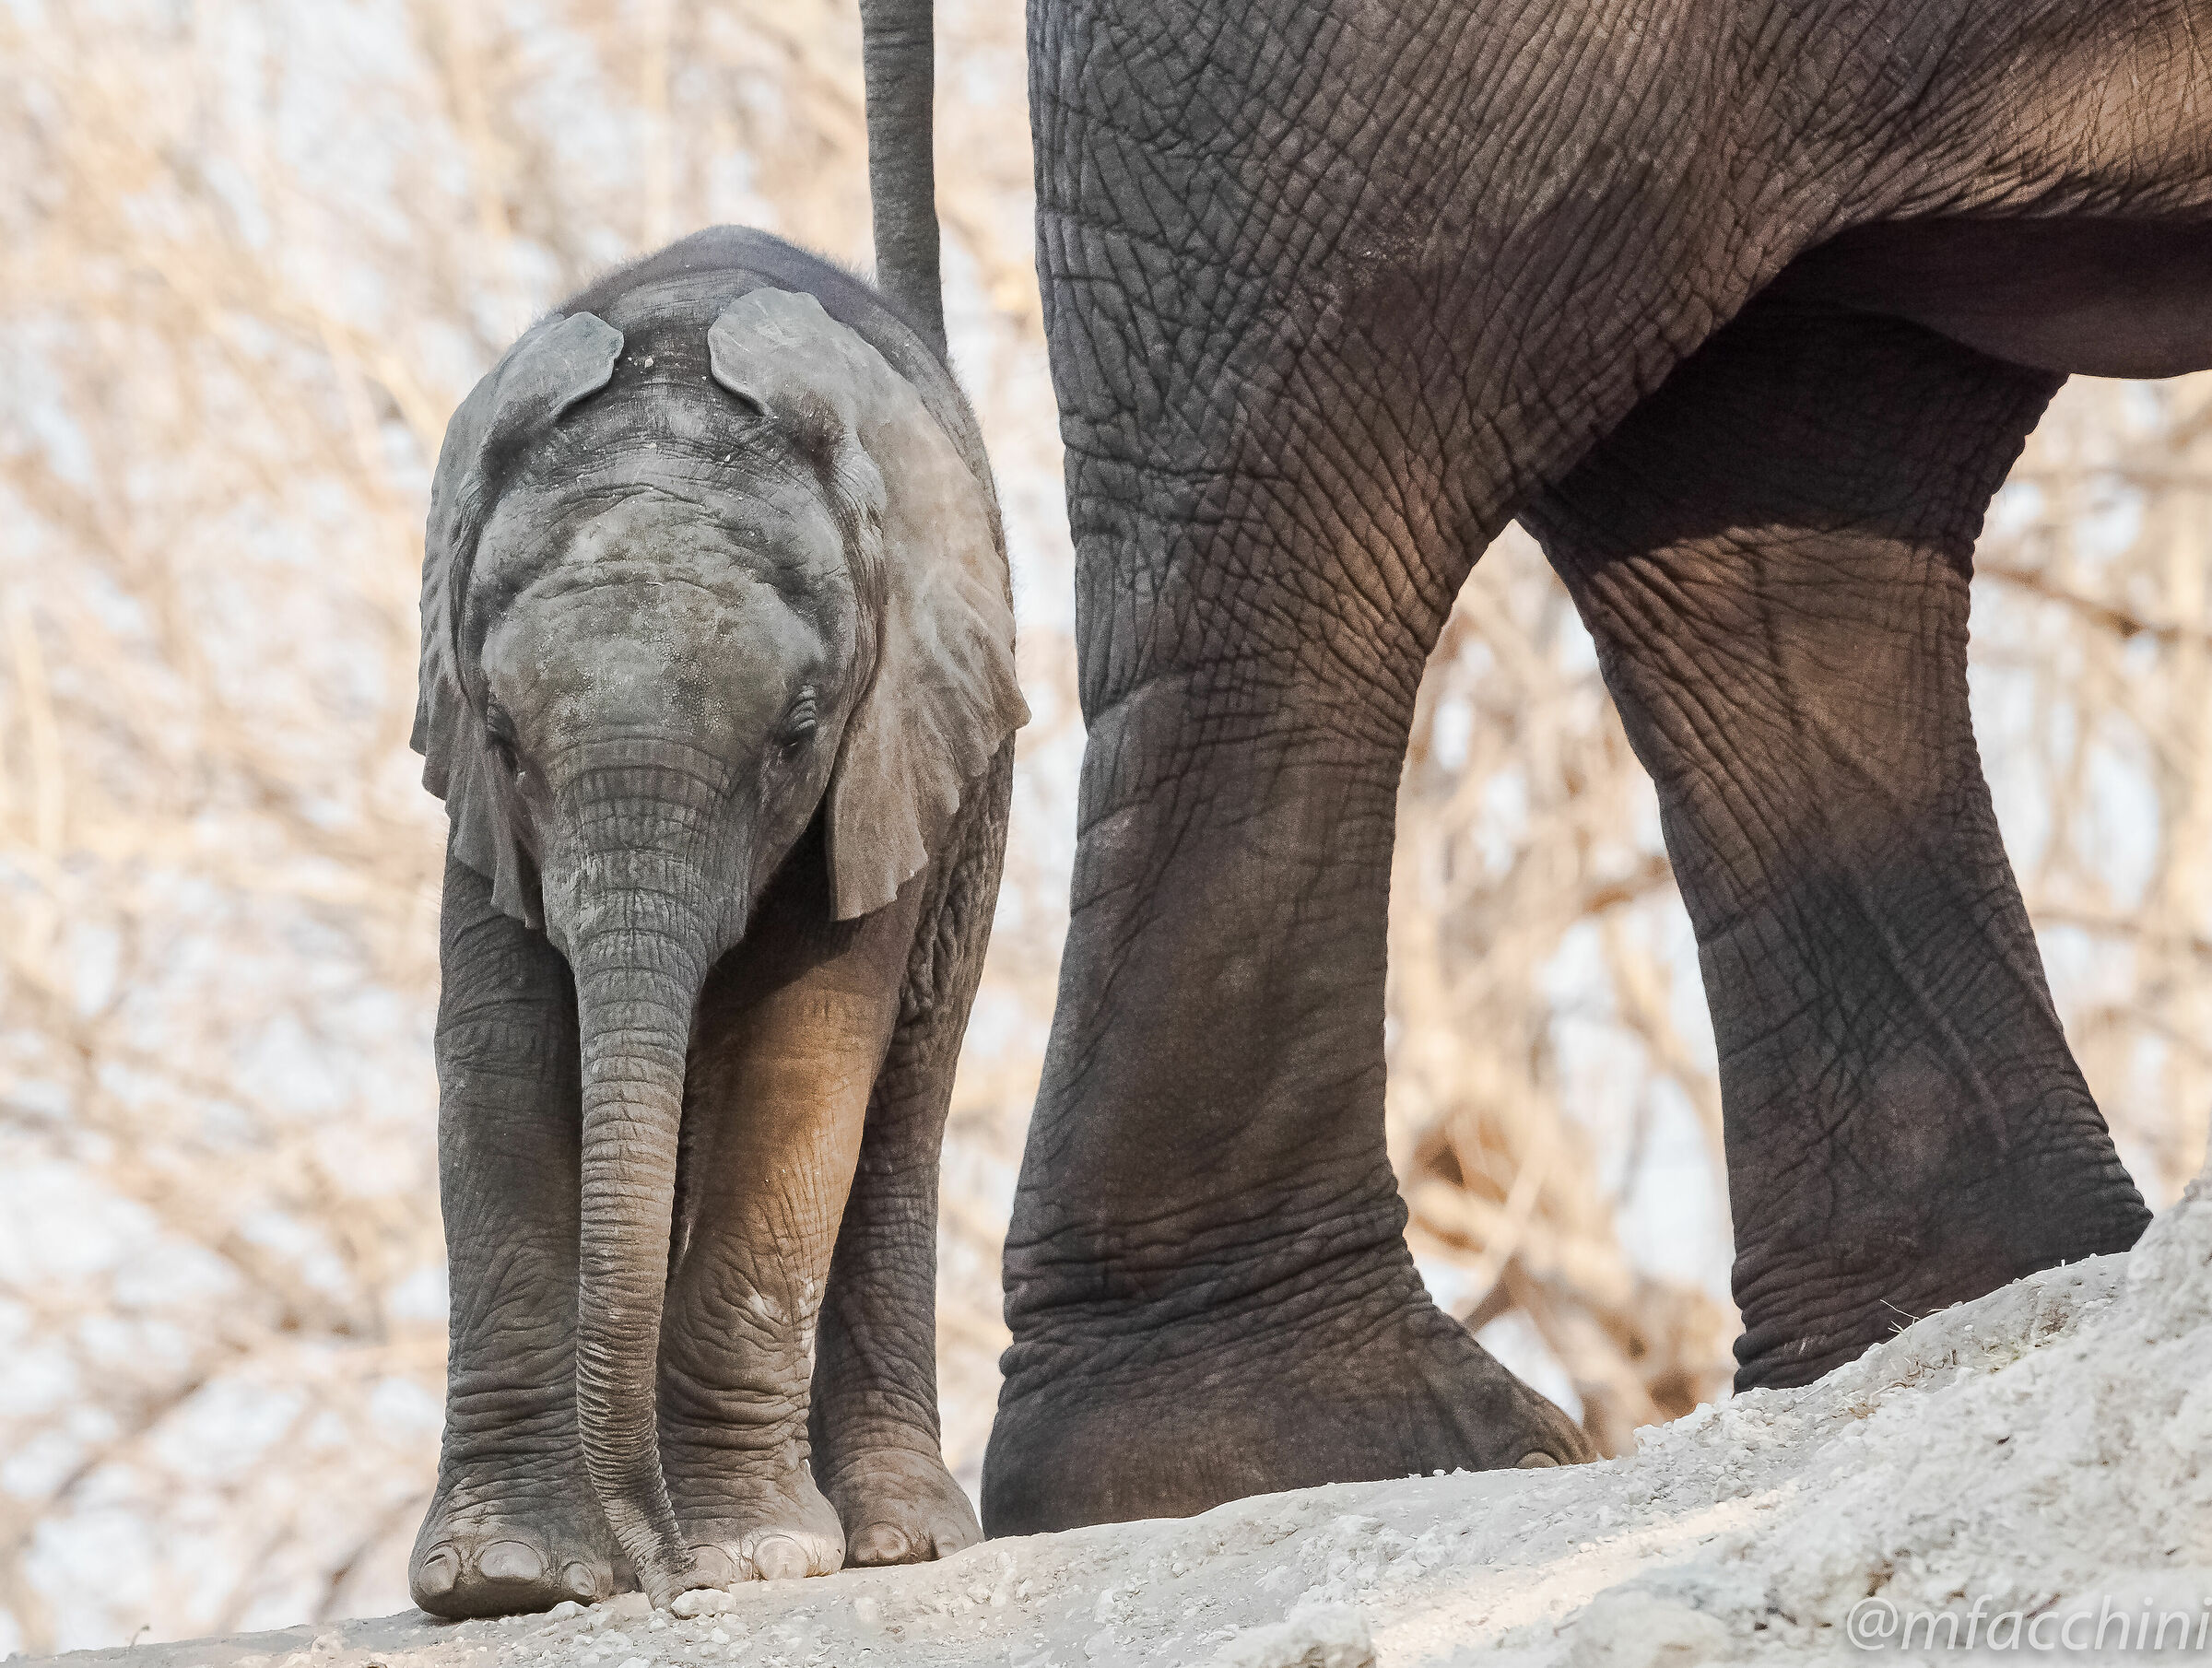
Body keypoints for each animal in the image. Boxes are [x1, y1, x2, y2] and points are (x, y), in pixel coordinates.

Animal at [403, 223, 1027, 1618]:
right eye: (506, 737)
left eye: (797, 730)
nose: (663, 1581)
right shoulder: (476, 808)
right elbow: (501, 1051)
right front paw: (502, 1580)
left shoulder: (887, 741)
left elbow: (807, 1055)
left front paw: (751, 1557)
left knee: (904, 1103)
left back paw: (898, 1536)